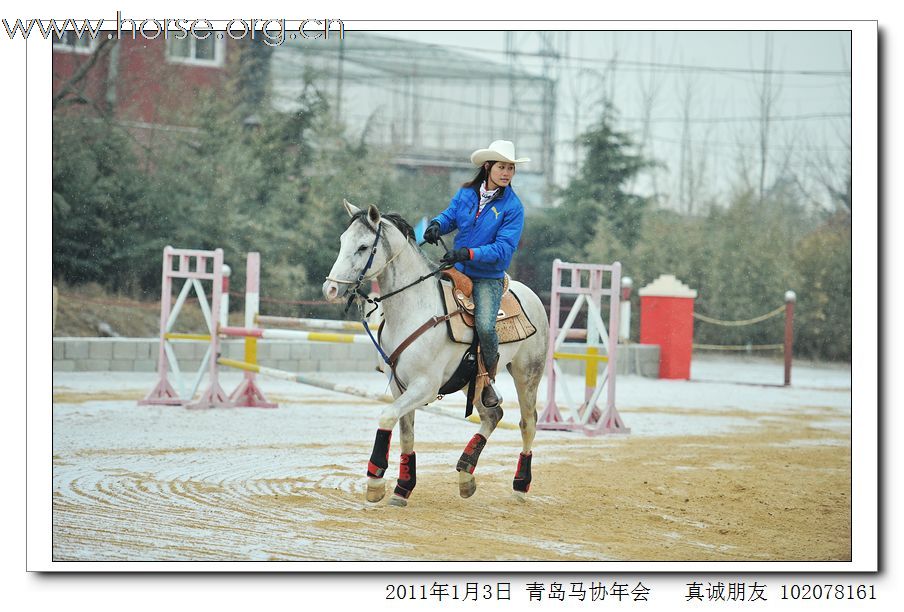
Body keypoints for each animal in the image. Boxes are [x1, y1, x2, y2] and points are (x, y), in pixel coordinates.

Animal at [324, 201, 552, 506]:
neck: (414, 309)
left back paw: (519, 486)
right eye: (342, 241)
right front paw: (402, 488)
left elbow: (386, 416)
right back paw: (466, 475)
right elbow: (406, 433)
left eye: (362, 246)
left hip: (527, 375)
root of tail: (532, 295)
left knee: (528, 424)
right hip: (475, 381)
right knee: (493, 415)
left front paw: (375, 482)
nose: (330, 288)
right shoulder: (399, 386)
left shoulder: (425, 387)